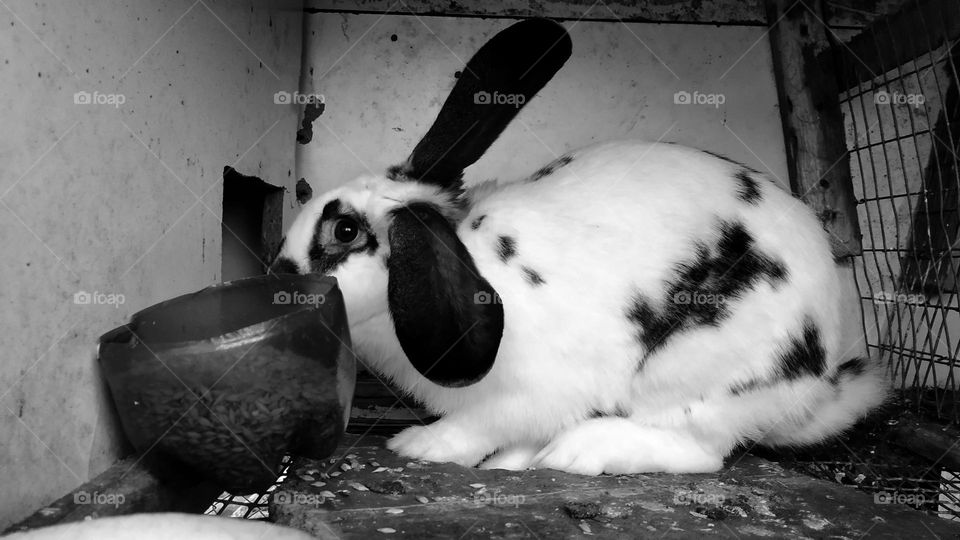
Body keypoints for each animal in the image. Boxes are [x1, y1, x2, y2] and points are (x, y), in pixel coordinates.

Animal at [270, 18, 888, 475]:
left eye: (343, 232)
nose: (278, 272)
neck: (467, 252)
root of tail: (818, 384)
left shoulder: (526, 395)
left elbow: (476, 427)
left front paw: (423, 446)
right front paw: (510, 464)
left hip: (698, 375)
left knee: (701, 450)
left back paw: (583, 451)